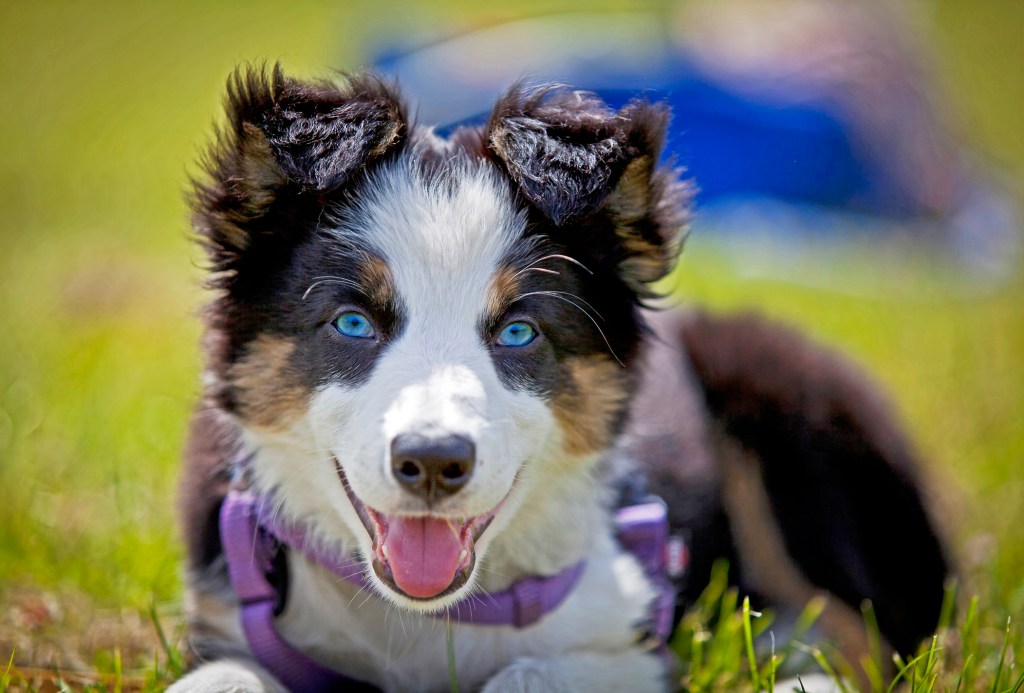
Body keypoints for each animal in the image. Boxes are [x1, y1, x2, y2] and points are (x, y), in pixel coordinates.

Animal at [172, 66, 946, 691]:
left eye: (519, 332)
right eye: (353, 322)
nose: (433, 462)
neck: (425, 617)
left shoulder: (629, 634)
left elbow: (529, 673)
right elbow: (219, 679)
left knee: (861, 627)